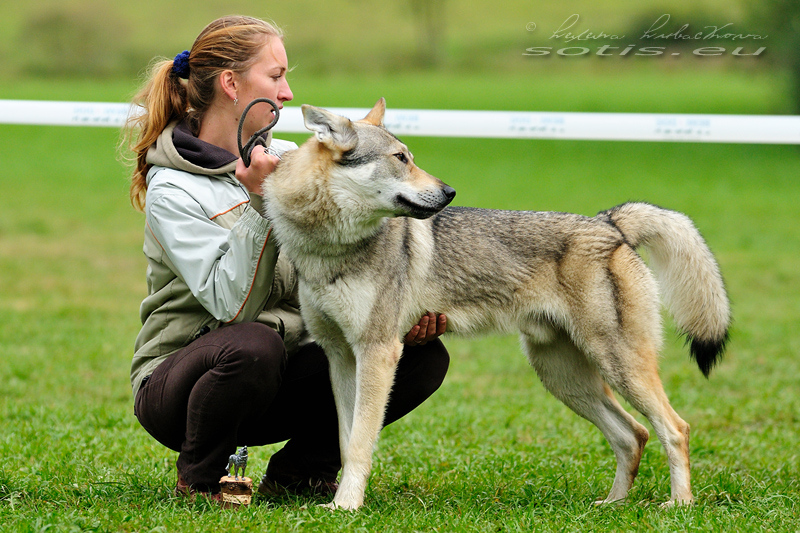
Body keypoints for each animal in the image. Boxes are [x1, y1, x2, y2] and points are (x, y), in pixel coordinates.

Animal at [262, 97, 732, 510]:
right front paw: (344, 499)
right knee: (632, 435)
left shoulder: (378, 352)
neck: (327, 249)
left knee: (675, 429)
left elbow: (361, 443)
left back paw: (680, 505)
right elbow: (346, 441)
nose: (449, 191)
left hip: (618, 367)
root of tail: (610, 223)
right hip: (563, 377)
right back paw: (611, 505)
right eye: (400, 158)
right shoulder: (340, 356)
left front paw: (345, 507)